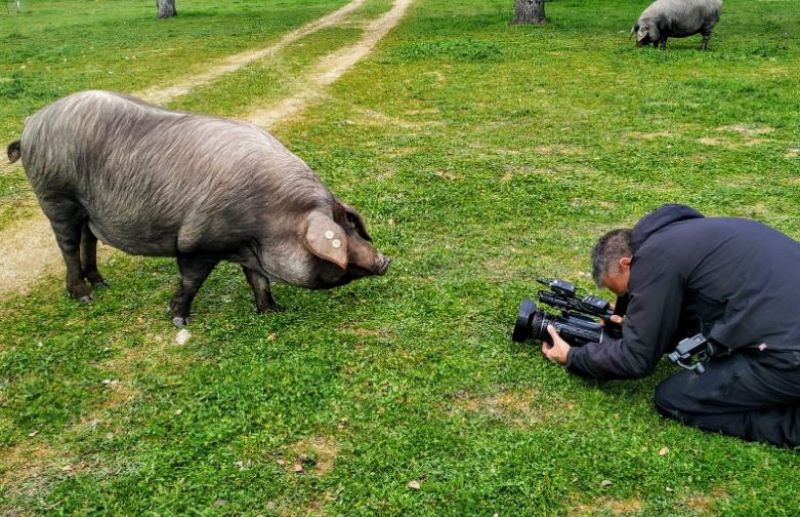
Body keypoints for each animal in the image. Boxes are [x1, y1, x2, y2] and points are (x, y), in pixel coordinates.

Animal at [7, 88, 390, 322]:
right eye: (339, 233)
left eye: (352, 226)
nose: (385, 260)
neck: (267, 217)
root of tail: (31, 123)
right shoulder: (197, 240)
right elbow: (192, 279)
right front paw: (178, 318)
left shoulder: (247, 246)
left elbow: (259, 279)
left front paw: (273, 312)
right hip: (56, 195)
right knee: (68, 245)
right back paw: (84, 295)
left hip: (86, 208)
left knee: (88, 239)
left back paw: (103, 285)